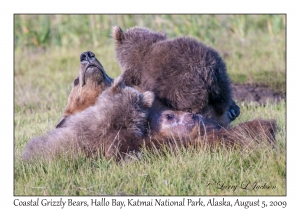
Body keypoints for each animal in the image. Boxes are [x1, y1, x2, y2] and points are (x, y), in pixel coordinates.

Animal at [111, 25, 240, 125]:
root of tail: (208, 68)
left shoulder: (138, 69)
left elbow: (128, 78)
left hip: (181, 80)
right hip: (221, 76)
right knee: (223, 99)